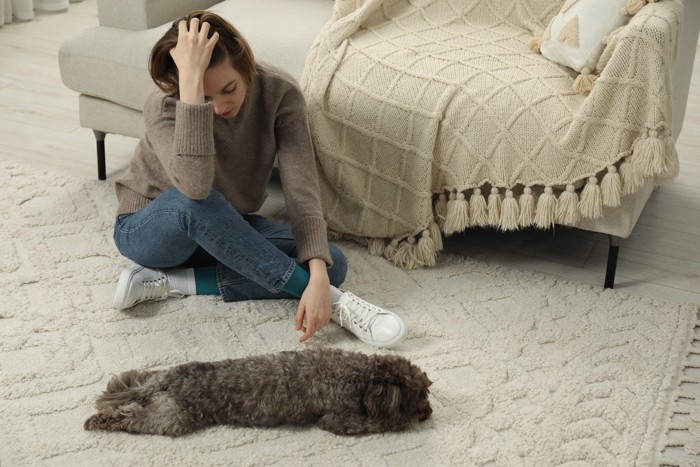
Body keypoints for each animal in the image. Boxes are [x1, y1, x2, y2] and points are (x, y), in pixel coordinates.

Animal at [82, 348, 432, 436]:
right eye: (419, 401)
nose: (428, 415)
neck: (363, 378)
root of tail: (170, 381)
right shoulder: (338, 419)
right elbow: (376, 423)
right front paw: (400, 422)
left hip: (157, 386)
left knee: (133, 389)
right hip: (171, 418)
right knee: (129, 418)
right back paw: (98, 421)